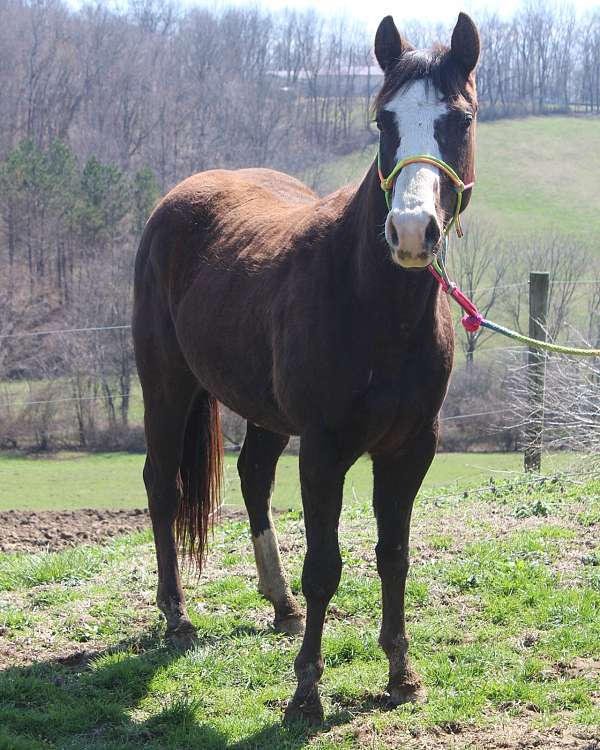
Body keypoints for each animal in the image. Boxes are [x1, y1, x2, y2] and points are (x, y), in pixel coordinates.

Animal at [132, 12, 479, 724]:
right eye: (383, 119)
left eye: (459, 120)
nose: (411, 231)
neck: (374, 305)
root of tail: (178, 198)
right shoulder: (323, 450)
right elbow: (325, 565)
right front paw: (306, 692)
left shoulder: (411, 449)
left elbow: (393, 555)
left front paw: (402, 673)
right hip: (167, 387)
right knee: (161, 485)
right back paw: (177, 615)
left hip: (265, 412)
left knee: (253, 478)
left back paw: (281, 604)